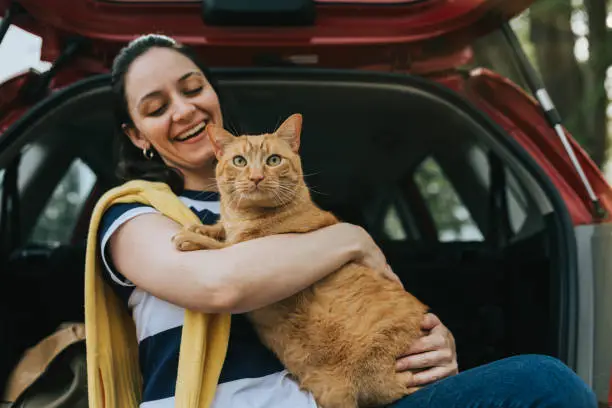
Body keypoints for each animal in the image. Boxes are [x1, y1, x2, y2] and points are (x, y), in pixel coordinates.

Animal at [172, 113, 428, 406]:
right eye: (240, 161)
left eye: (273, 160)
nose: (256, 177)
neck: (243, 217)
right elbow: (221, 230)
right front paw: (202, 227)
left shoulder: (253, 250)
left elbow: (222, 246)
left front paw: (192, 237)